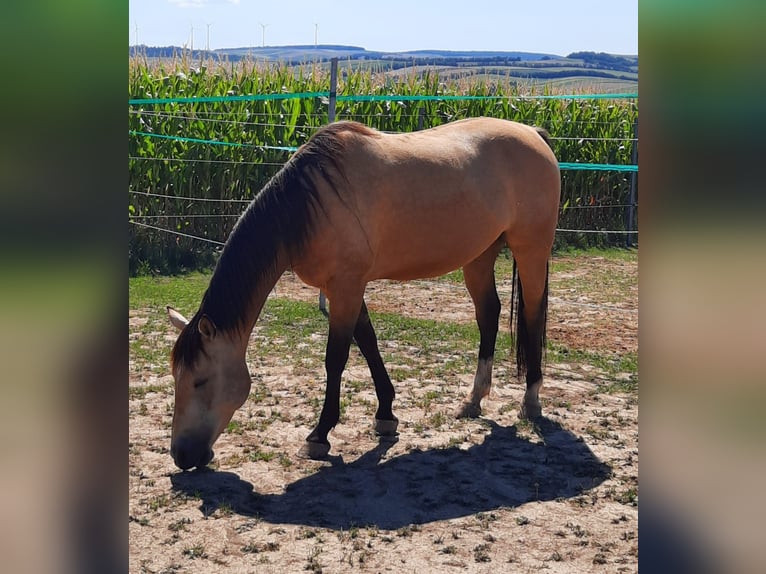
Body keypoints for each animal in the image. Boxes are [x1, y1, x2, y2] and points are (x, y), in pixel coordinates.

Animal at [166, 117, 560, 470]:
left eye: (201, 380)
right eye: (175, 378)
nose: (181, 456)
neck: (310, 204)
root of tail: (533, 134)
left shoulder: (346, 287)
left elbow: (336, 358)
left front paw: (320, 435)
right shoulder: (343, 288)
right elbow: (368, 342)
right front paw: (386, 415)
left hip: (531, 251)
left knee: (532, 317)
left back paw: (530, 402)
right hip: (479, 256)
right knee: (488, 315)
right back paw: (474, 400)